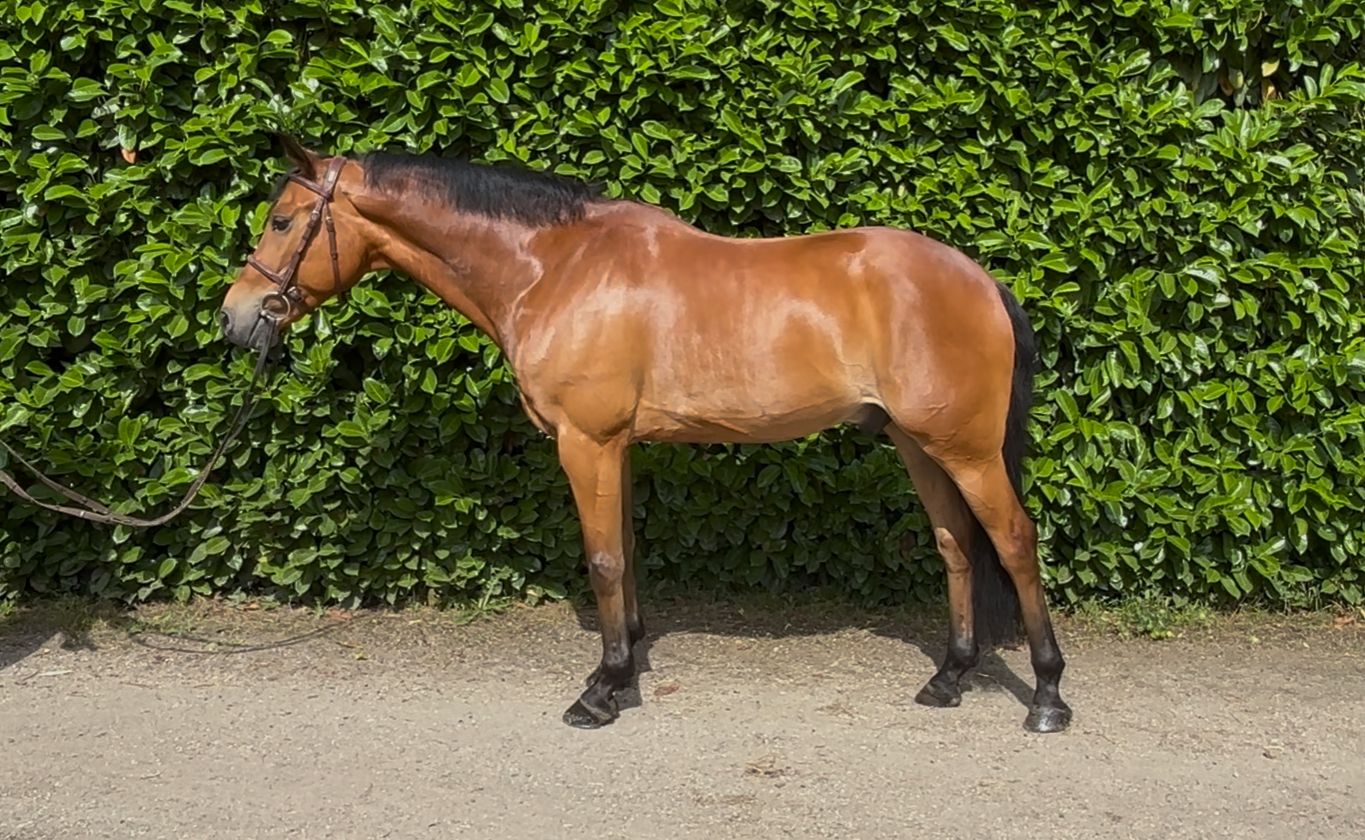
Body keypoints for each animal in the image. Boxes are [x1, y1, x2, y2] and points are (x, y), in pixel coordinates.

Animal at [220, 135, 1071, 733]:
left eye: (283, 220)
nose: (235, 319)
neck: (554, 268)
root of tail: (981, 280)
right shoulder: (615, 448)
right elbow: (624, 557)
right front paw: (623, 670)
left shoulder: (584, 441)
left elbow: (601, 561)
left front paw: (598, 692)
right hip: (918, 445)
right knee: (955, 546)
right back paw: (948, 679)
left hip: (964, 450)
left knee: (1013, 541)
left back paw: (1047, 697)